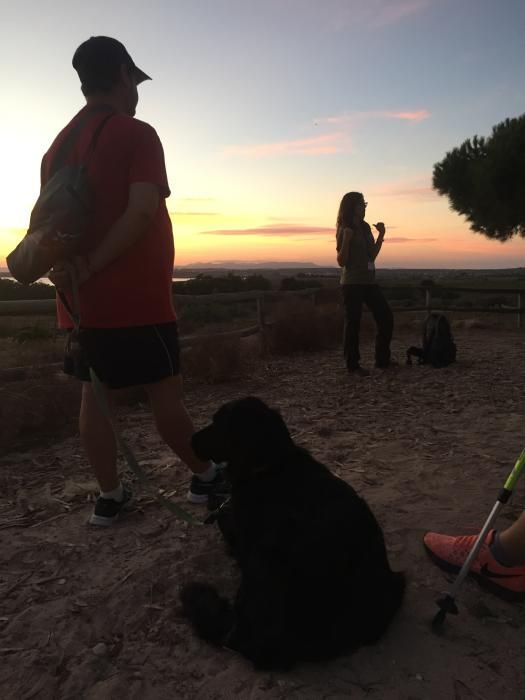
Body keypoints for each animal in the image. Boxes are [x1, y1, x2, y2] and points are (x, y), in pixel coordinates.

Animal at [180, 396, 406, 668]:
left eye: (219, 424)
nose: (191, 440)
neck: (270, 464)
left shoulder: (245, 537)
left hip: (266, 556)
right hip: (396, 584)